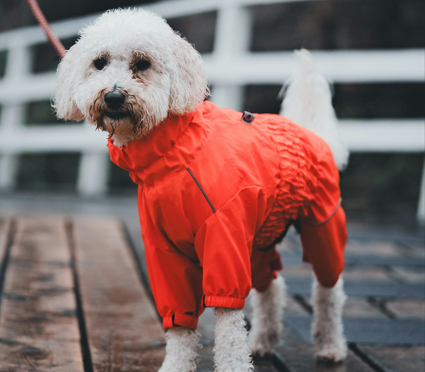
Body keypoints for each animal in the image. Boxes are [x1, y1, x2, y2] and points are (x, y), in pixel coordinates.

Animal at [53, 8, 348, 372]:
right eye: (99, 63)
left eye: (142, 63)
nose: (113, 96)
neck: (174, 154)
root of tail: (311, 132)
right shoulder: (164, 252)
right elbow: (179, 323)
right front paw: (176, 365)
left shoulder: (224, 238)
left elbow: (229, 323)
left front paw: (234, 365)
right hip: (260, 238)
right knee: (272, 285)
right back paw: (263, 341)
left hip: (321, 224)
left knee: (329, 290)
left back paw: (331, 346)